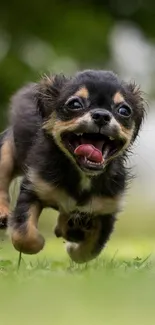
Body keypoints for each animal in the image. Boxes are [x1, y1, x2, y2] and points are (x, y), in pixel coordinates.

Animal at [0, 70, 145, 260]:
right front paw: (40, 241)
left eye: (124, 110)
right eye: (75, 104)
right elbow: (24, 236)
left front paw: (72, 246)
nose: (101, 115)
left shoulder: (106, 210)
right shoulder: (33, 188)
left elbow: (89, 251)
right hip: (6, 152)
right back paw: (3, 212)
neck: (82, 174)